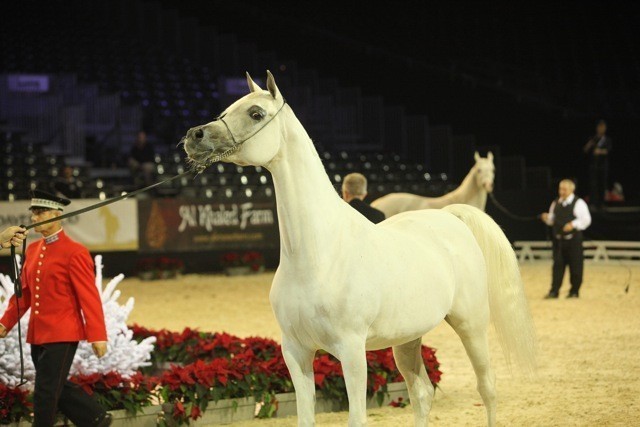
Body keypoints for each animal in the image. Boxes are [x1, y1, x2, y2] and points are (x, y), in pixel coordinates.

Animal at [182, 71, 536, 427]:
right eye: (226, 110)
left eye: (256, 113)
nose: (194, 136)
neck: (319, 256)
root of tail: (451, 217)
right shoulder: (295, 352)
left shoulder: (352, 352)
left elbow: (357, 417)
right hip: (408, 338)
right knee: (422, 393)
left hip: (471, 325)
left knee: (487, 388)